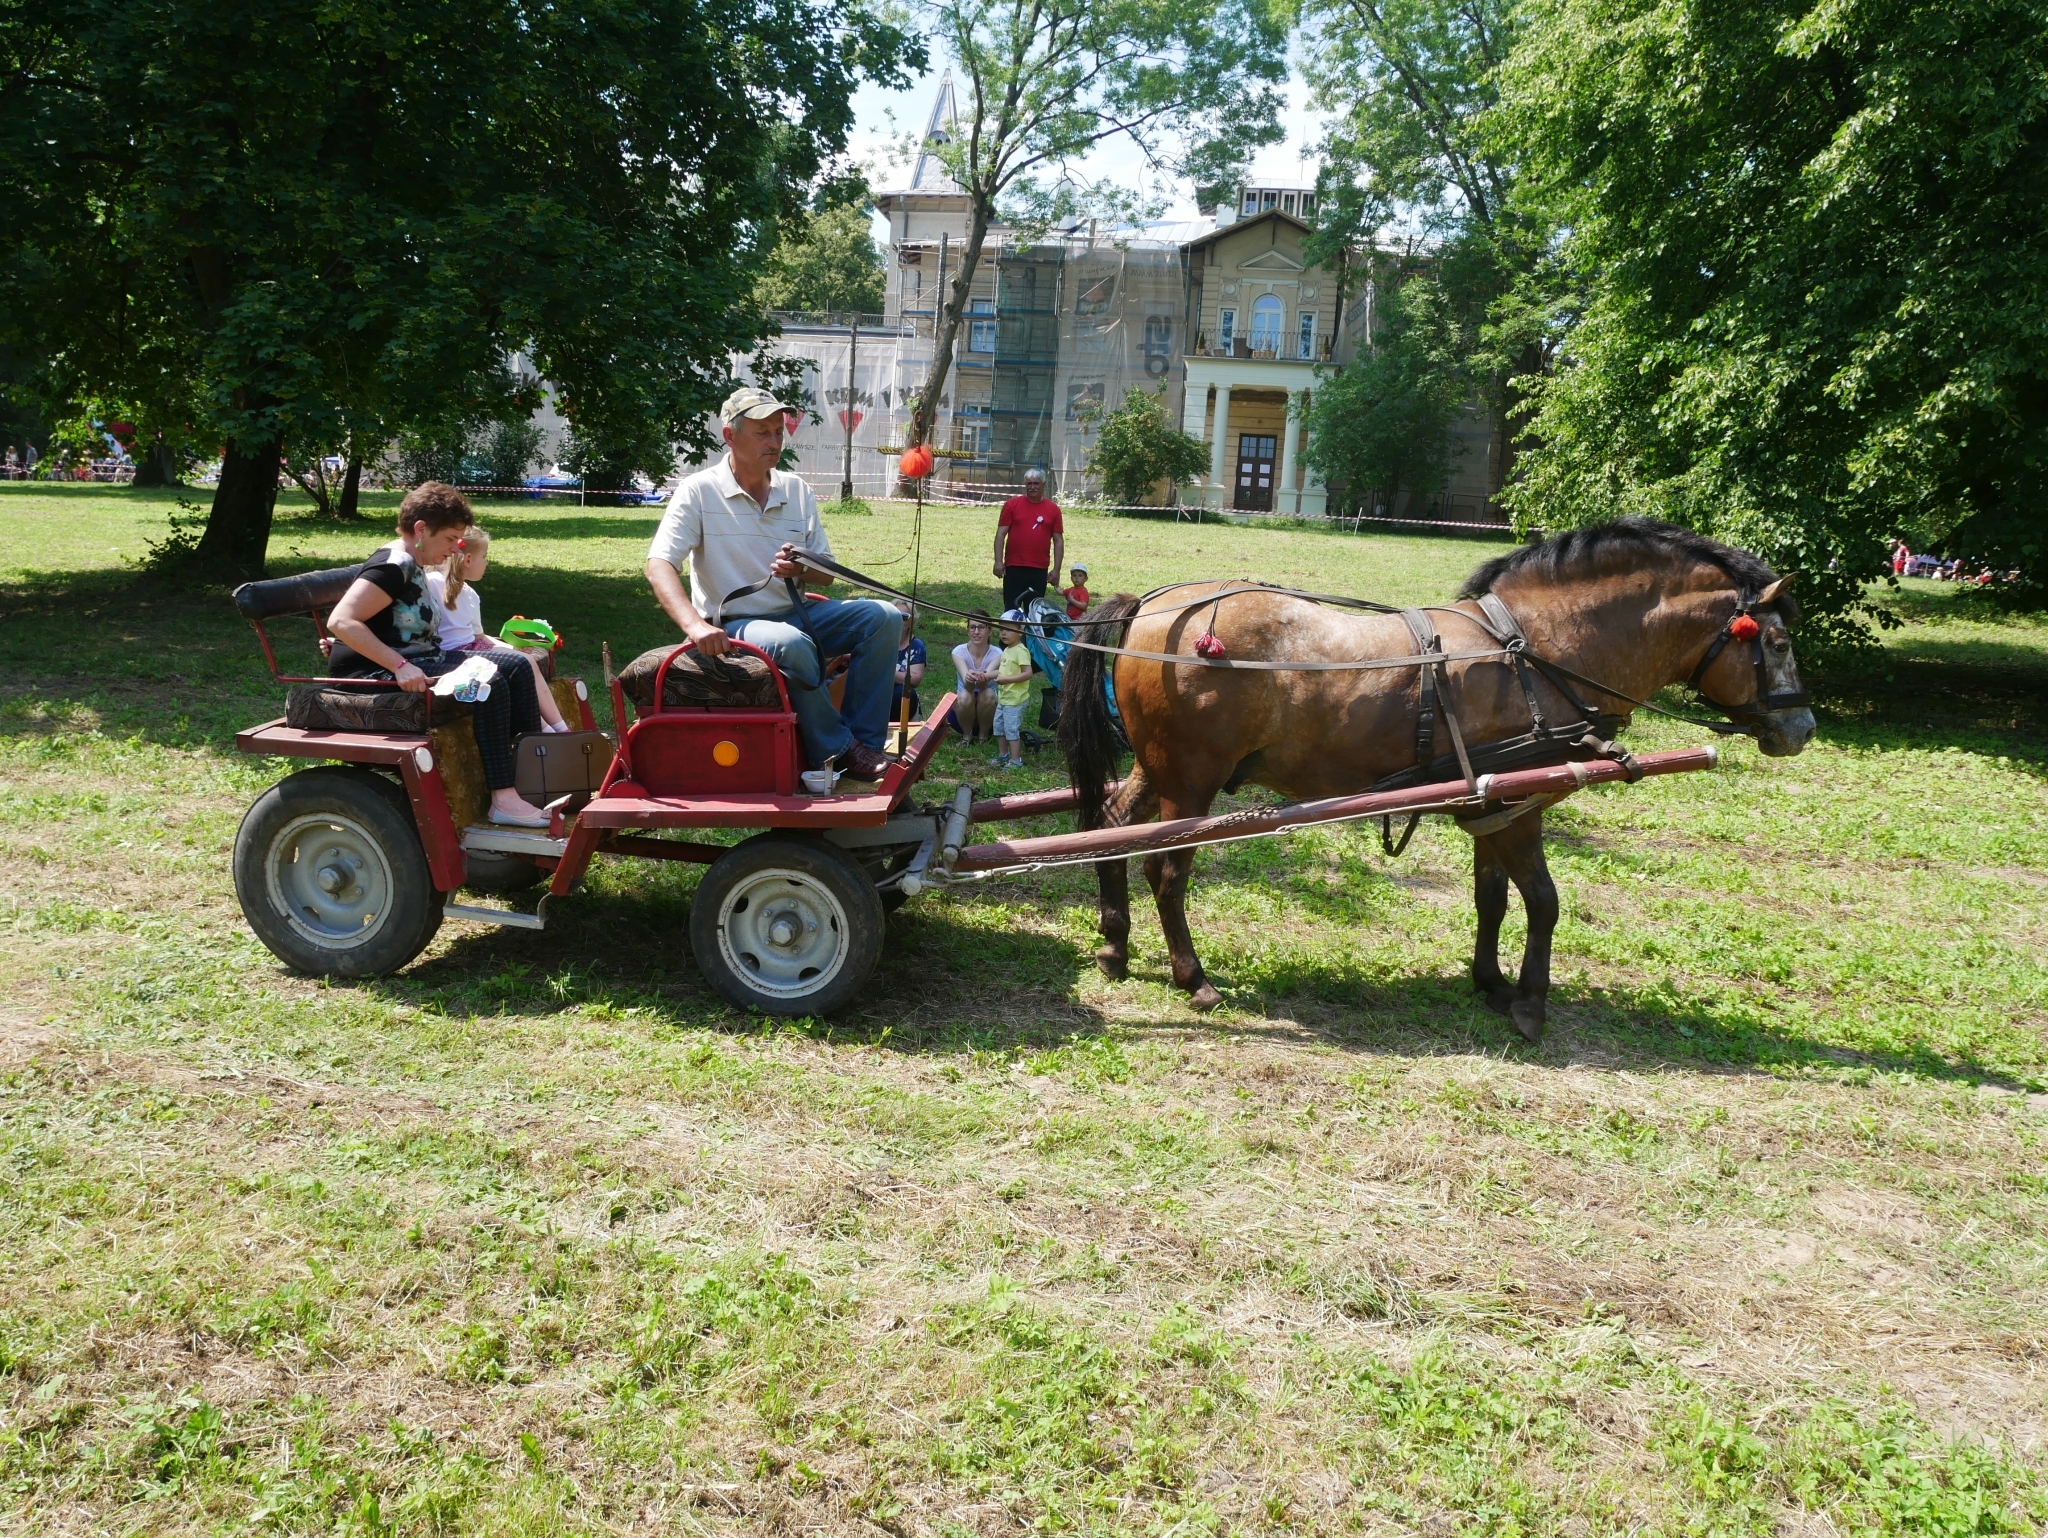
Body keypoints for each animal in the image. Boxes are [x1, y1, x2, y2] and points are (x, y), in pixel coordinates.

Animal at [1056, 518, 1817, 1039]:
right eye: (1777, 642)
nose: (1802, 728)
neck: (1538, 651)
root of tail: (1152, 608)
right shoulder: (1525, 805)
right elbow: (1543, 901)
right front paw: (1531, 1004)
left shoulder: (1496, 806)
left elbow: (1494, 900)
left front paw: (1490, 981)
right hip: (1192, 779)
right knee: (1166, 870)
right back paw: (1194, 978)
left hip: (1157, 767)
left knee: (1113, 832)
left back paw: (1115, 943)